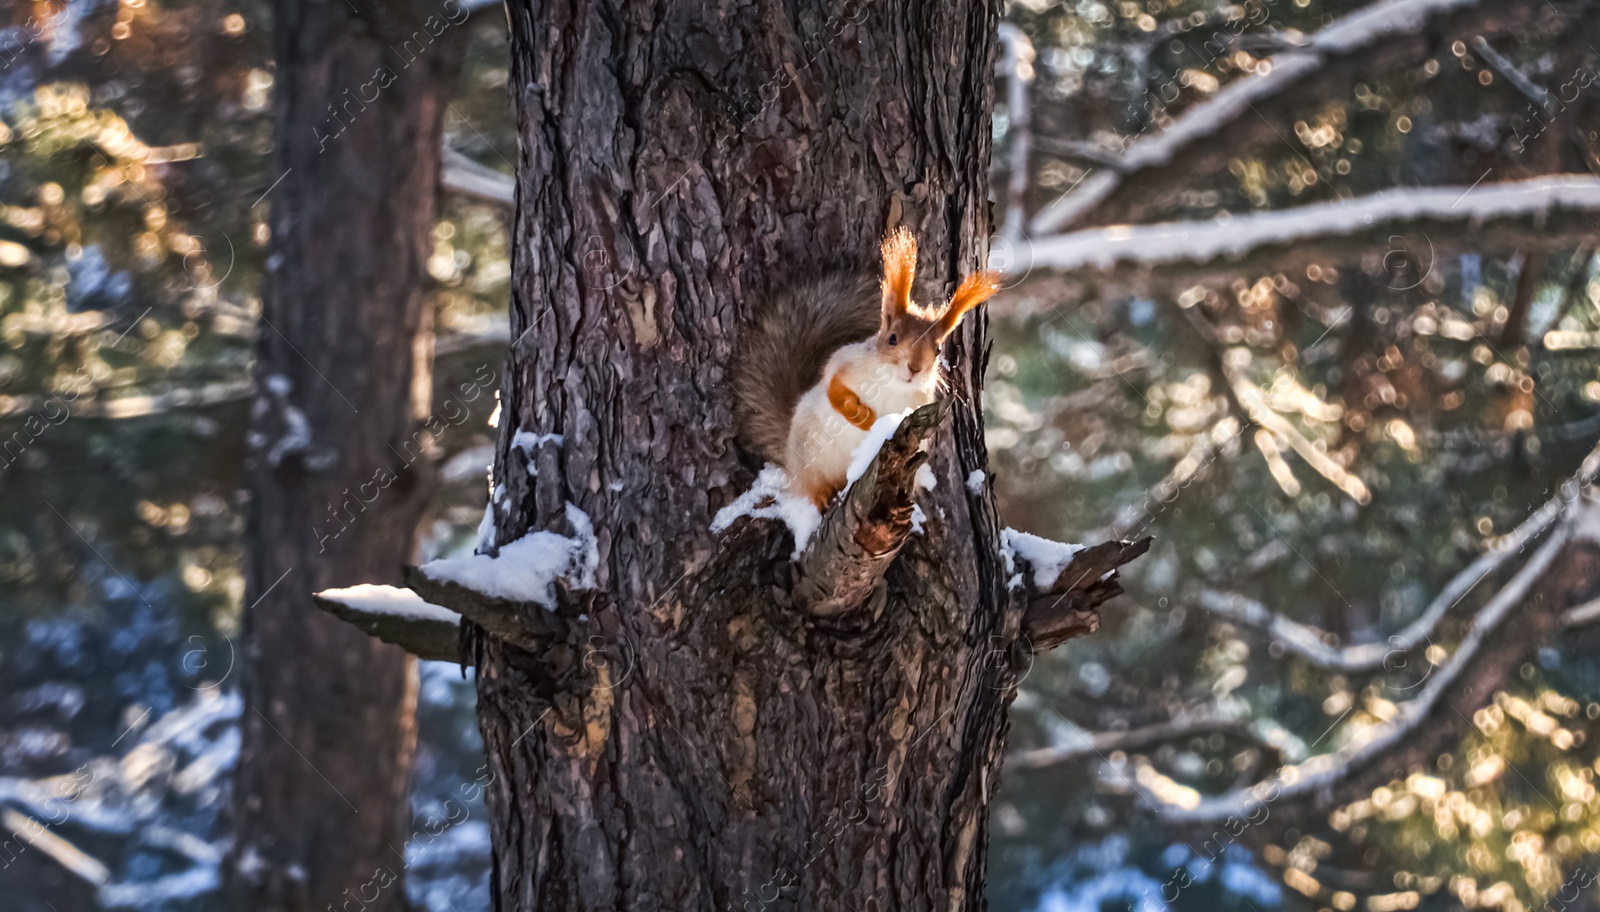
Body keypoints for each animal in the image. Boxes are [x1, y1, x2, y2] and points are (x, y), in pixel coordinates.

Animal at [736, 225, 998, 508]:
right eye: (892, 338)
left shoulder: (919, 403)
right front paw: (860, 416)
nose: (914, 368)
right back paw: (822, 495)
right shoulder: (845, 362)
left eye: (938, 349)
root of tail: (788, 457)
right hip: (810, 460)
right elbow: (833, 387)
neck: (892, 386)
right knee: (811, 486)